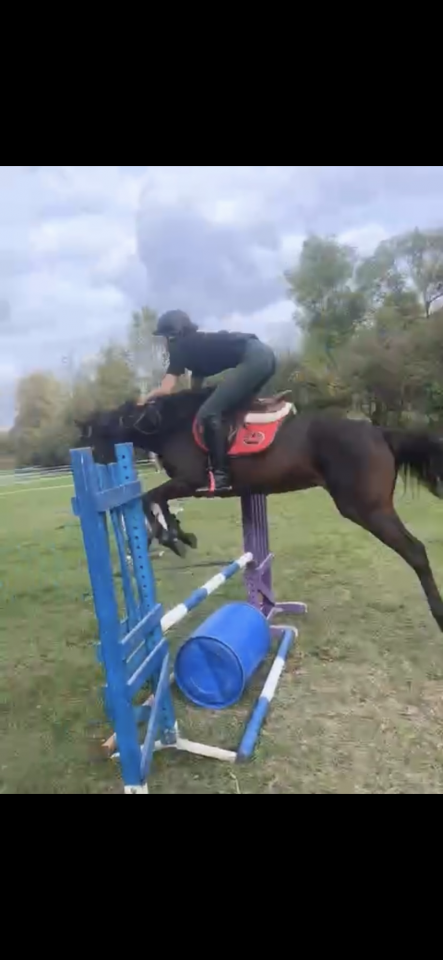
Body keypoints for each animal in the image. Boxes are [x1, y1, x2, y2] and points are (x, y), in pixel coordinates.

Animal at [76, 386, 443, 633]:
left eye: (94, 439)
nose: (90, 465)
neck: (168, 424)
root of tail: (379, 431)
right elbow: (156, 500)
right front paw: (178, 533)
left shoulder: (192, 481)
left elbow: (150, 498)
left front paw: (173, 537)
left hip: (366, 508)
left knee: (416, 552)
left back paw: (439, 615)